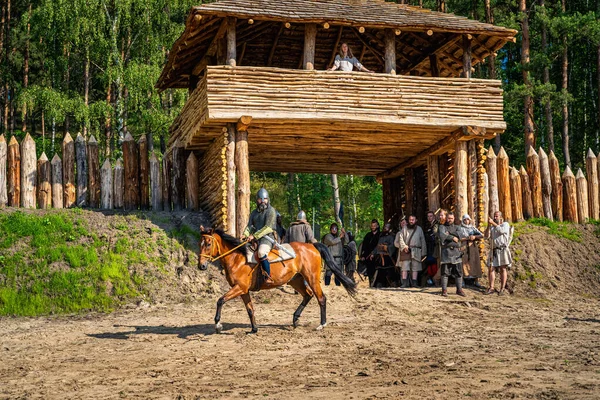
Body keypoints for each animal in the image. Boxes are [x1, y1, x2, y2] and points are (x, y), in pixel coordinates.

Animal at [199, 228, 356, 334]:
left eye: (208, 244)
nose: (201, 266)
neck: (237, 258)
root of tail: (312, 245)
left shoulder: (240, 288)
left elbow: (220, 300)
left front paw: (218, 325)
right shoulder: (243, 290)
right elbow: (250, 309)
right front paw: (254, 329)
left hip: (311, 278)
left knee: (321, 298)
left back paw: (322, 324)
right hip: (295, 280)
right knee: (308, 295)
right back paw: (295, 318)